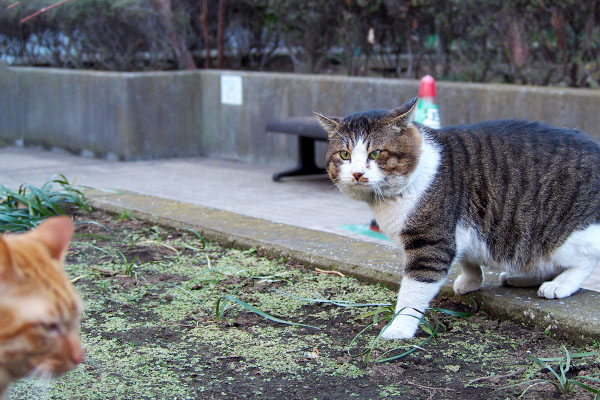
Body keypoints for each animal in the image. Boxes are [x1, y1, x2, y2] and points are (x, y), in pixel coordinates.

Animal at [314, 97, 600, 340]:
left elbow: (412, 291)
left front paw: (399, 328)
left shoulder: (431, 241)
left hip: (571, 236)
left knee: (584, 261)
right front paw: (471, 281)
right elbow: (468, 260)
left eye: (375, 153)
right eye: (345, 155)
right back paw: (519, 277)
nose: (357, 174)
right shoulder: (459, 234)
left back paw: (559, 285)